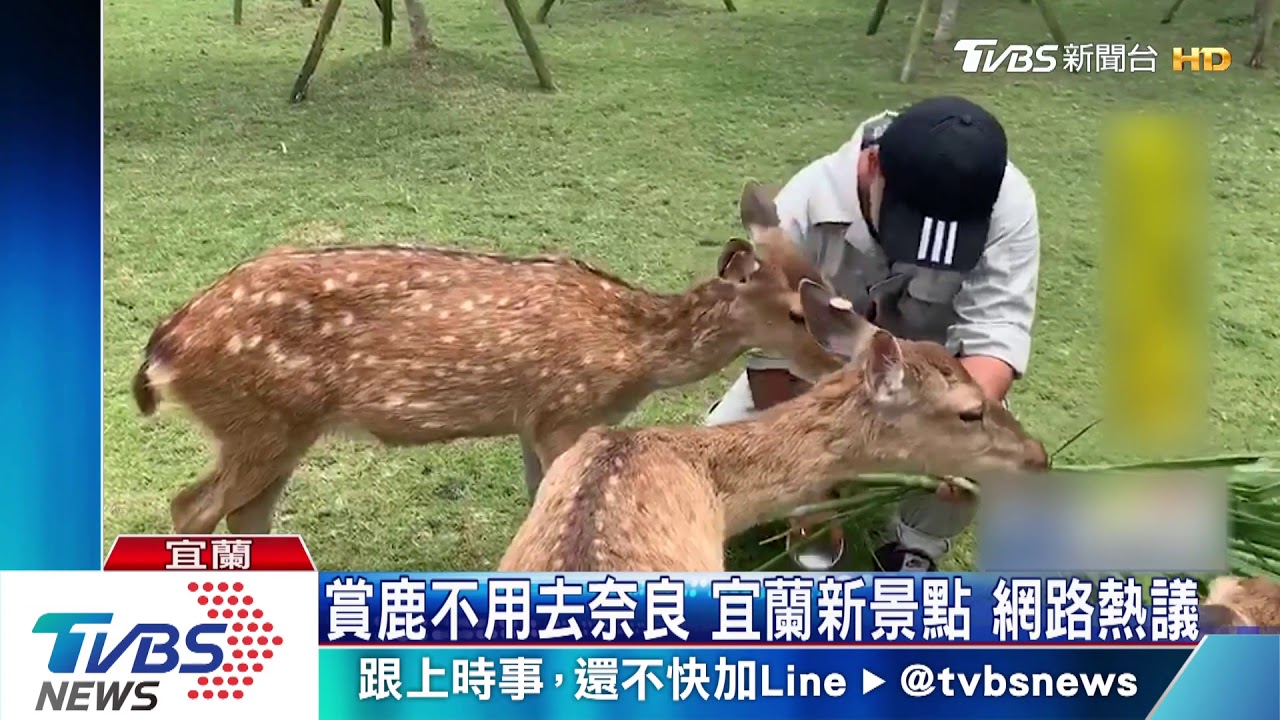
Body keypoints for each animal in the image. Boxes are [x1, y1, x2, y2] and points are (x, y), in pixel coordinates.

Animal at [130, 182, 845, 536]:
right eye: (795, 311)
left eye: (828, 283)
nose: (837, 360)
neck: (634, 352)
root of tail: (165, 346)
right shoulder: (566, 411)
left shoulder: (533, 418)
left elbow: (537, 501)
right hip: (262, 421)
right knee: (190, 506)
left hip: (279, 429)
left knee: (243, 512)